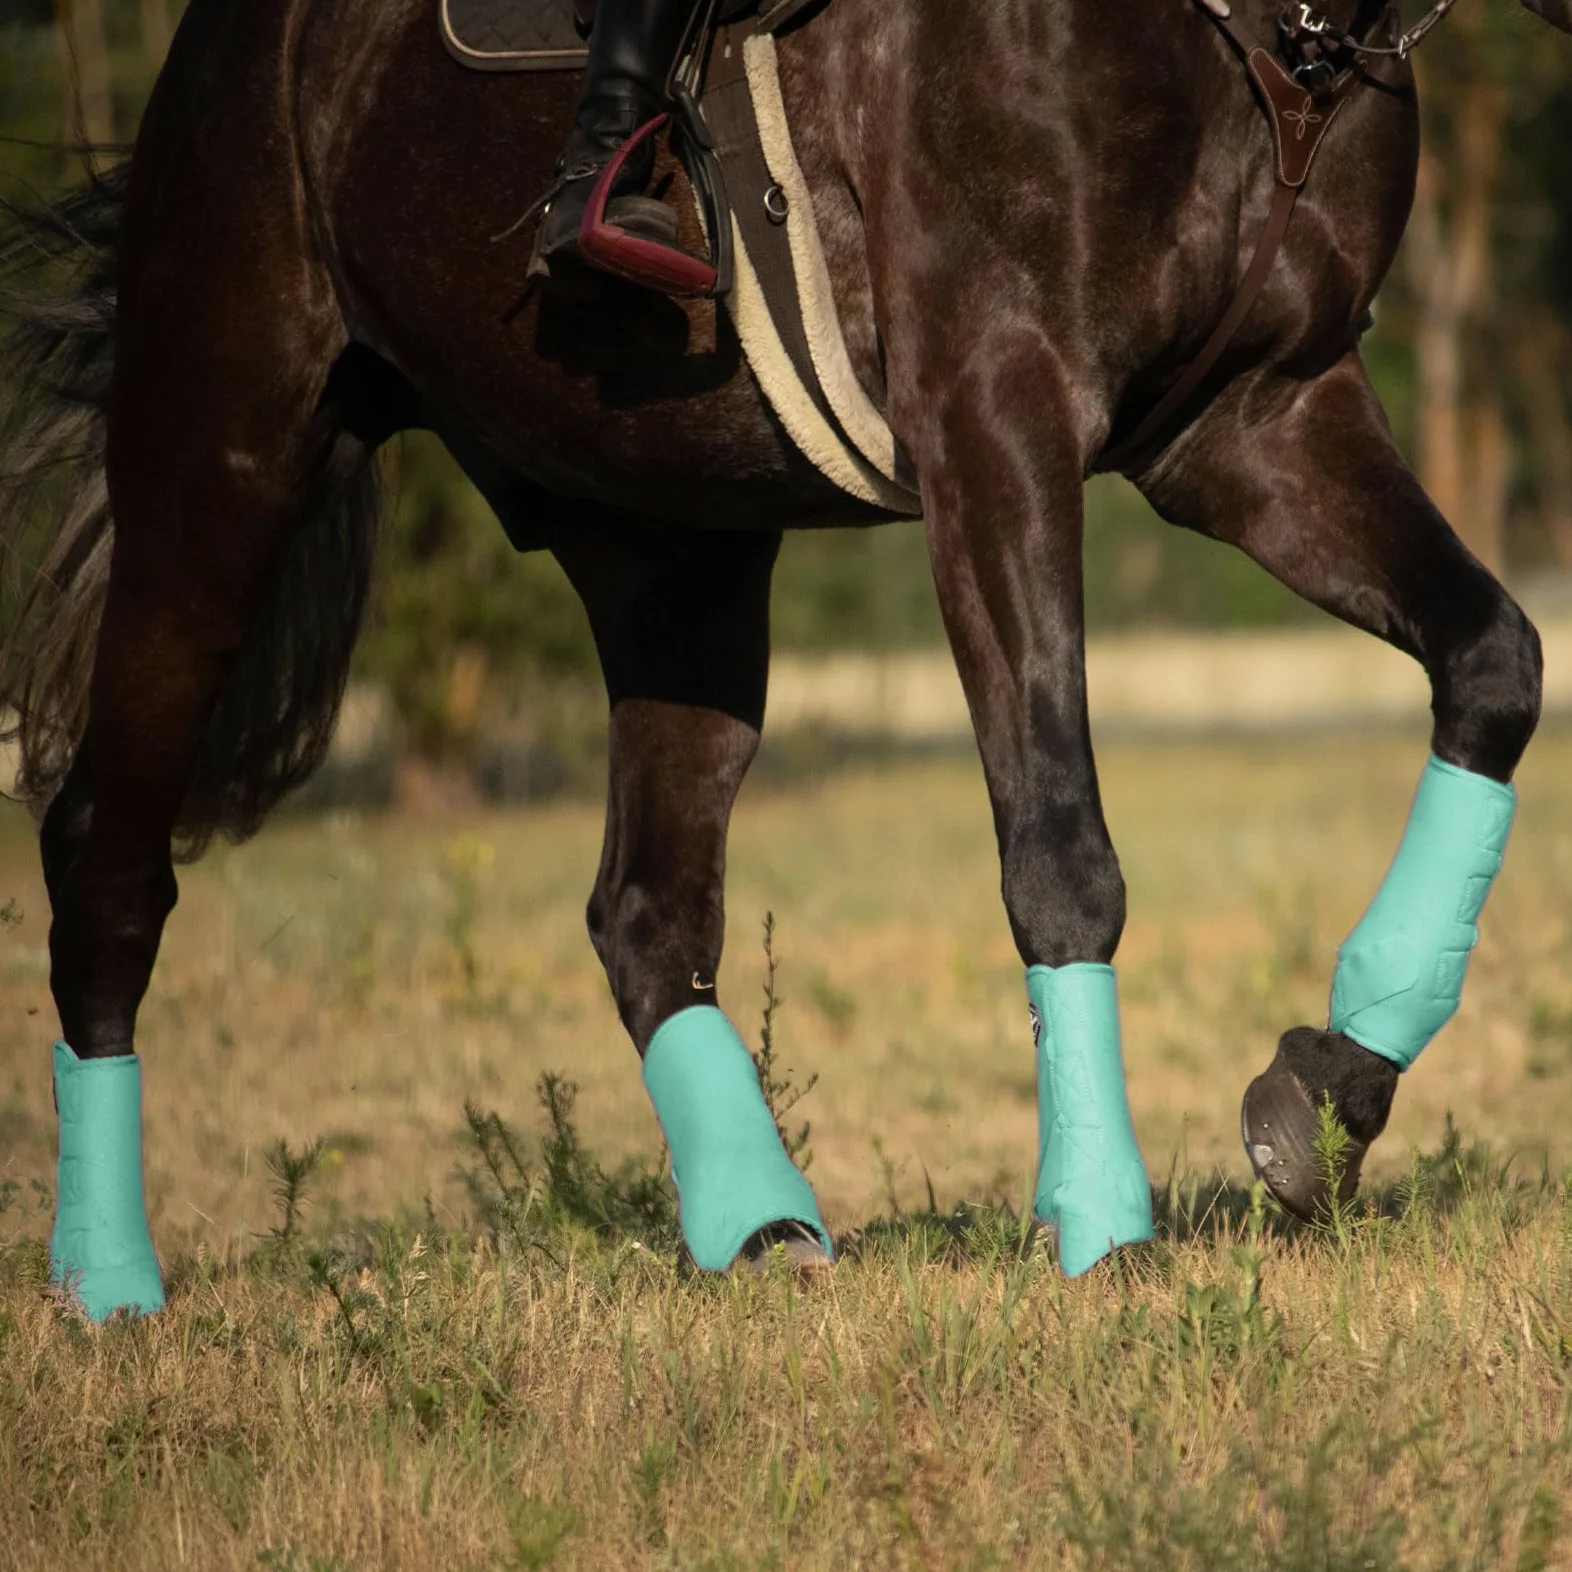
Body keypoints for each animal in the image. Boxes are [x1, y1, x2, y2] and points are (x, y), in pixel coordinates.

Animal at [0, 0, 1561, 1320]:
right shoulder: (997, 420)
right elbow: (1061, 849)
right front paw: (1105, 1227)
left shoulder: (1257, 423)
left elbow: (1493, 664)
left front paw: (1328, 1094)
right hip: (224, 468)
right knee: (108, 858)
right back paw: (107, 1282)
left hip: (670, 551)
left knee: (647, 908)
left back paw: (757, 1224)